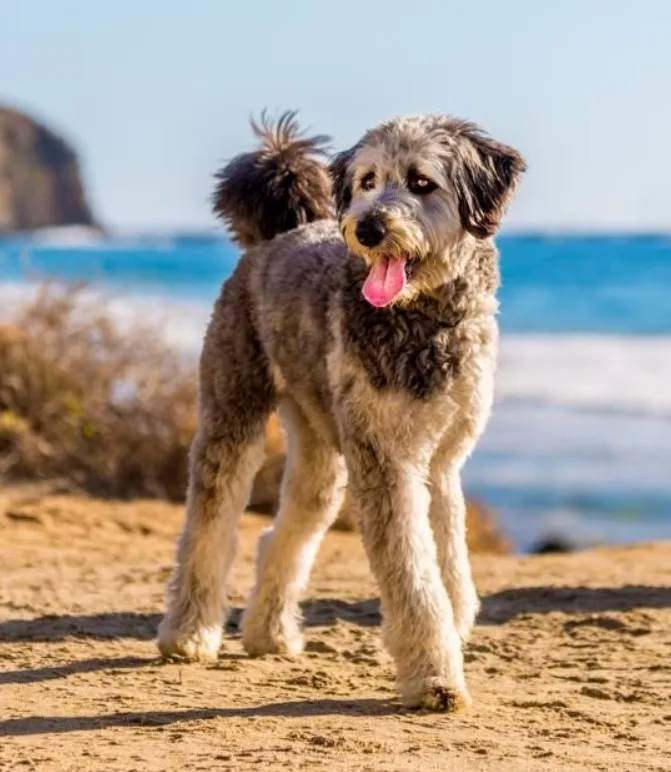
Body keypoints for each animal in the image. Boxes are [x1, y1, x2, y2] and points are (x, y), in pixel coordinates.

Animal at [158, 110, 524, 712]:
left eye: (421, 182)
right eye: (368, 180)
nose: (368, 228)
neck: (422, 319)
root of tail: (275, 236)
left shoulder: (442, 461)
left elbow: (449, 562)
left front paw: (452, 628)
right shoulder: (386, 462)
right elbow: (415, 575)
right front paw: (434, 676)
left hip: (320, 449)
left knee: (285, 532)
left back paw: (269, 632)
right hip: (233, 413)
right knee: (209, 527)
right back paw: (188, 633)